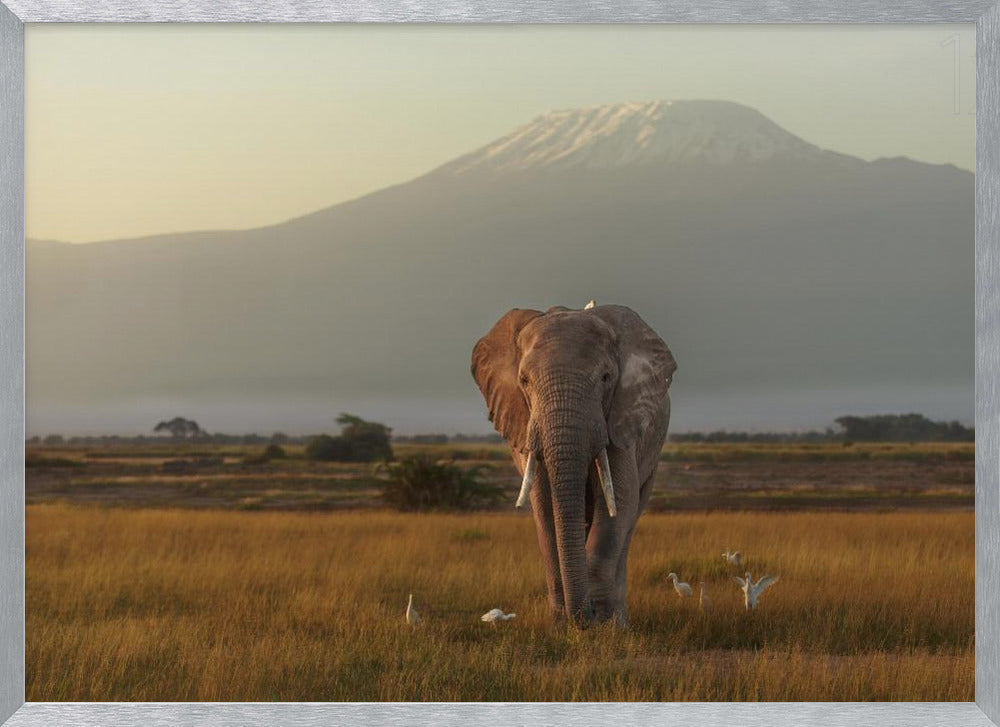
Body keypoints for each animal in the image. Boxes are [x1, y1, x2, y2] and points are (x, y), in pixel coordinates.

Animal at [472, 304, 676, 628]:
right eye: (524, 381)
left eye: (606, 377)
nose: (583, 618)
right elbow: (544, 506)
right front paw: (561, 625)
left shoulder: (621, 417)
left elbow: (619, 502)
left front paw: (605, 626)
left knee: (631, 518)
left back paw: (619, 619)